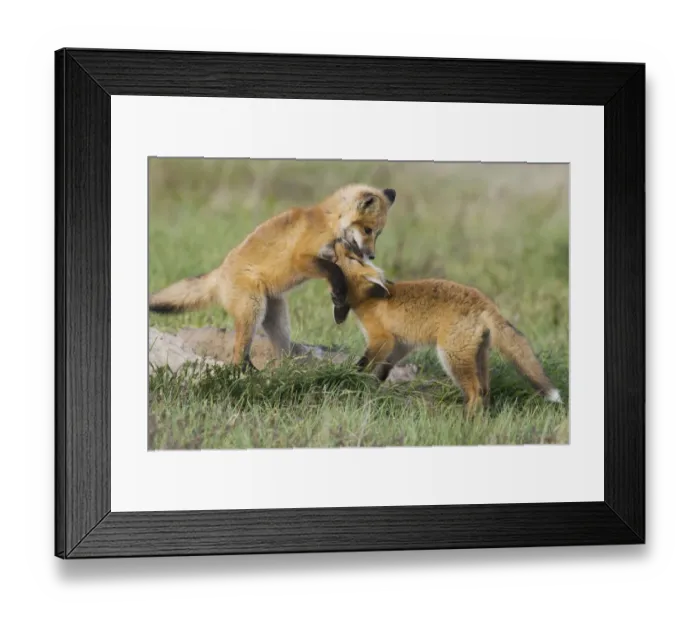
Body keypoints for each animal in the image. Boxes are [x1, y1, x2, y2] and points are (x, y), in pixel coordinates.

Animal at [148, 184, 397, 370]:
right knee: (238, 354)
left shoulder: (336, 259)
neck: (330, 223)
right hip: (253, 309)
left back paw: (286, 371)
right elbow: (334, 273)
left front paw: (340, 305)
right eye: (367, 230)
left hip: (278, 320)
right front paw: (339, 300)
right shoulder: (303, 259)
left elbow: (341, 281)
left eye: (378, 234)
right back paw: (245, 373)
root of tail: (219, 273)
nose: (371, 255)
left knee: (279, 353)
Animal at [329, 241, 563, 416]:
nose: (341, 241)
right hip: (479, 356)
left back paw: (466, 421)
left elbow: (365, 363)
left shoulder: (382, 339)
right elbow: (384, 370)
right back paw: (481, 419)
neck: (369, 298)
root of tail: (485, 303)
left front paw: (353, 377)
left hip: (451, 356)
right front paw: (374, 386)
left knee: (475, 391)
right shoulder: (402, 343)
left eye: (352, 258)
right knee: (485, 391)